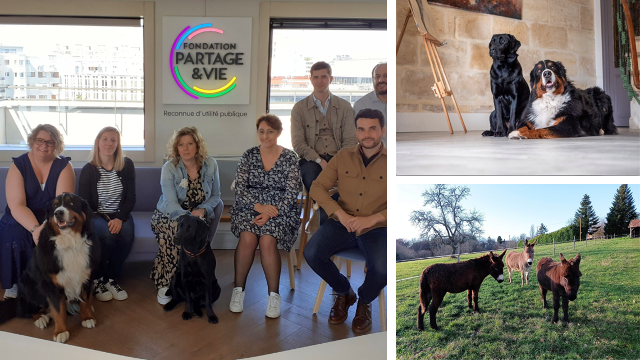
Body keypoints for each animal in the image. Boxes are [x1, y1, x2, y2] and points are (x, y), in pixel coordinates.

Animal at [0, 194, 100, 344]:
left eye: (71, 203)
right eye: (55, 206)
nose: (58, 213)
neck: (70, 244)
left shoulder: (86, 276)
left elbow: (85, 301)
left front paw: (87, 317)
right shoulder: (51, 284)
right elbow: (58, 311)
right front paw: (61, 331)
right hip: (28, 285)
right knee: (25, 309)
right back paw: (41, 318)